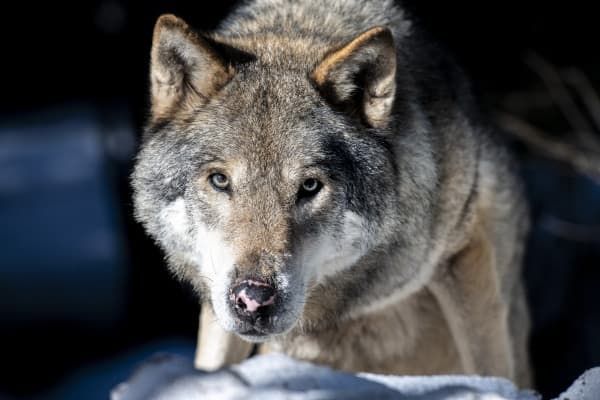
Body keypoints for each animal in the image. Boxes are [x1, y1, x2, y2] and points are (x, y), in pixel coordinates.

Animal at [131, 0, 528, 388]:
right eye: (219, 180)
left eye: (310, 186)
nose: (253, 299)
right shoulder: (216, 295)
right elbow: (211, 363)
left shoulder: (464, 249)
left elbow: (490, 370)